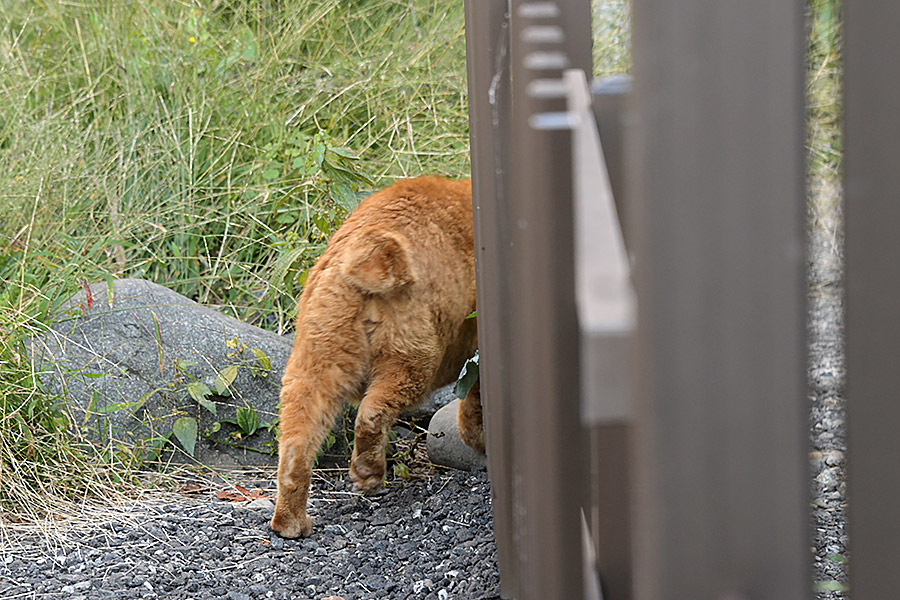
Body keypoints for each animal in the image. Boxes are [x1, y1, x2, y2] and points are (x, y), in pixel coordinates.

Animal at [270, 176, 486, 536]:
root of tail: (369, 248)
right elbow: (476, 401)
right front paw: (480, 441)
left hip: (318, 352)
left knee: (296, 440)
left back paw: (291, 521)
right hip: (413, 350)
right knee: (374, 409)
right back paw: (368, 472)